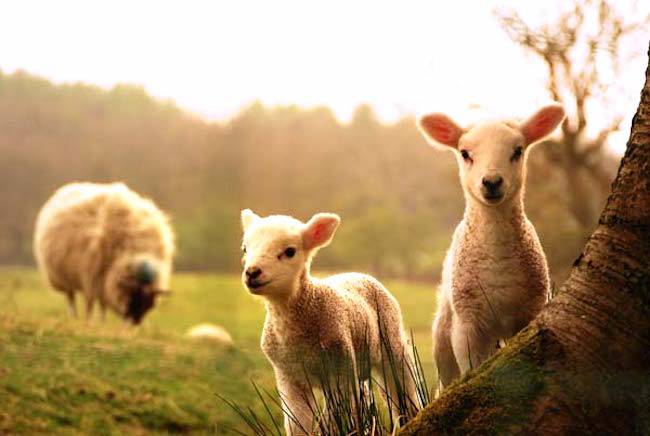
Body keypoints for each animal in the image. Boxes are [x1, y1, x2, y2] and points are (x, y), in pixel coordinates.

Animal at [33, 182, 175, 324]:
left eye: (149, 303)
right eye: (134, 295)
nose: (135, 323)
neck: (138, 249)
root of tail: (68, 187)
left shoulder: (103, 279)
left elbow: (103, 304)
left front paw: (102, 323)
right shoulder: (91, 276)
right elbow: (91, 304)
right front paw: (89, 323)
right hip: (63, 277)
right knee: (71, 298)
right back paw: (74, 318)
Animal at [240, 209, 418, 435]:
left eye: (290, 251)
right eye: (245, 249)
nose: (252, 273)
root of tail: (360, 273)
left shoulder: (340, 367)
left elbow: (339, 418)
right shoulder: (288, 376)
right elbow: (298, 422)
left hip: (391, 342)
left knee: (402, 389)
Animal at [416, 104, 566, 389]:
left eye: (518, 151)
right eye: (465, 153)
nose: (492, 182)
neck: (497, 255)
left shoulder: (528, 313)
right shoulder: (467, 324)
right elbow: (471, 369)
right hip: (444, 330)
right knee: (445, 378)